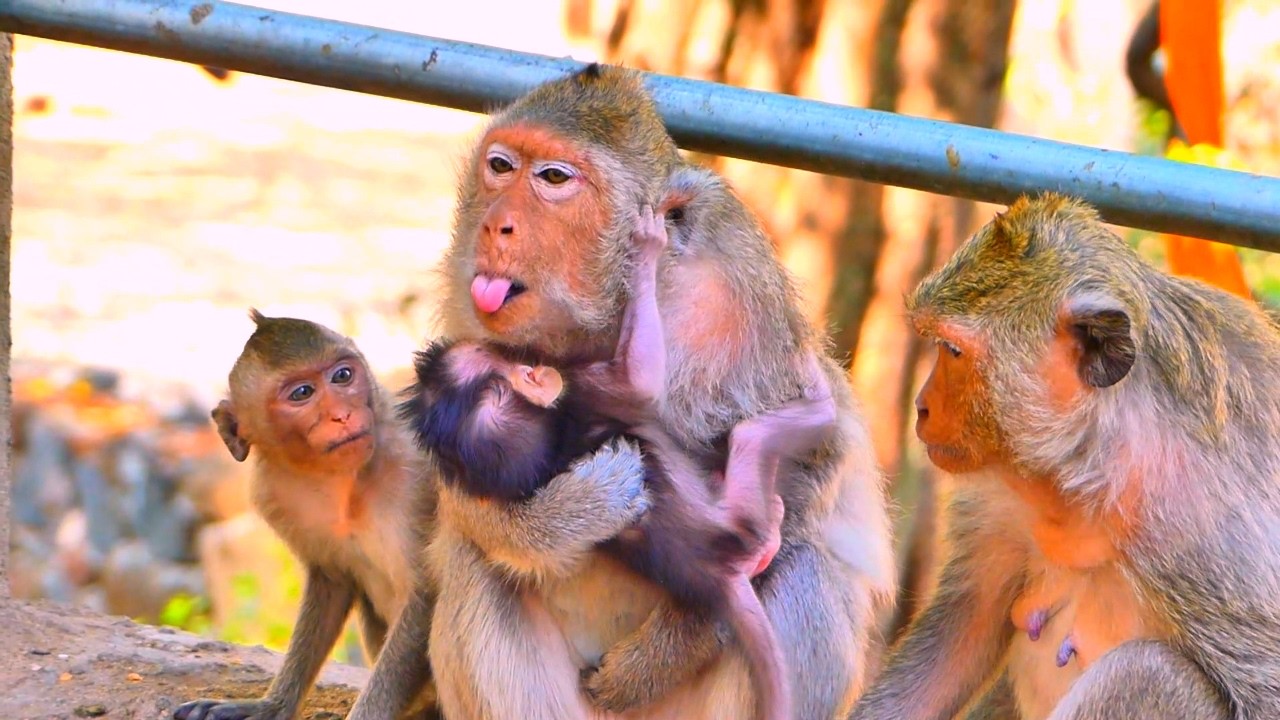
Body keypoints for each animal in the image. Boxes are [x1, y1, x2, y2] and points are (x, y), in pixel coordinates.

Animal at [173, 311, 441, 720]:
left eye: (342, 376)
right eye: (302, 393)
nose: (341, 415)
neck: (340, 479)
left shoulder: (417, 475)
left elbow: (425, 592)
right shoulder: (274, 495)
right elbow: (331, 582)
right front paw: (270, 706)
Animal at [402, 203, 837, 720]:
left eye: (492, 349)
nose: (509, 345)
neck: (549, 439)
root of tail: (722, 573)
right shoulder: (587, 388)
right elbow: (640, 383)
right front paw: (647, 248)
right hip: (743, 504)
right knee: (752, 441)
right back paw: (818, 396)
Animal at [849, 192, 1280, 720]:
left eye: (951, 350)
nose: (922, 406)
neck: (1096, 463)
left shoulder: (1214, 544)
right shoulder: (1002, 485)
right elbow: (966, 623)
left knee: (1148, 672)